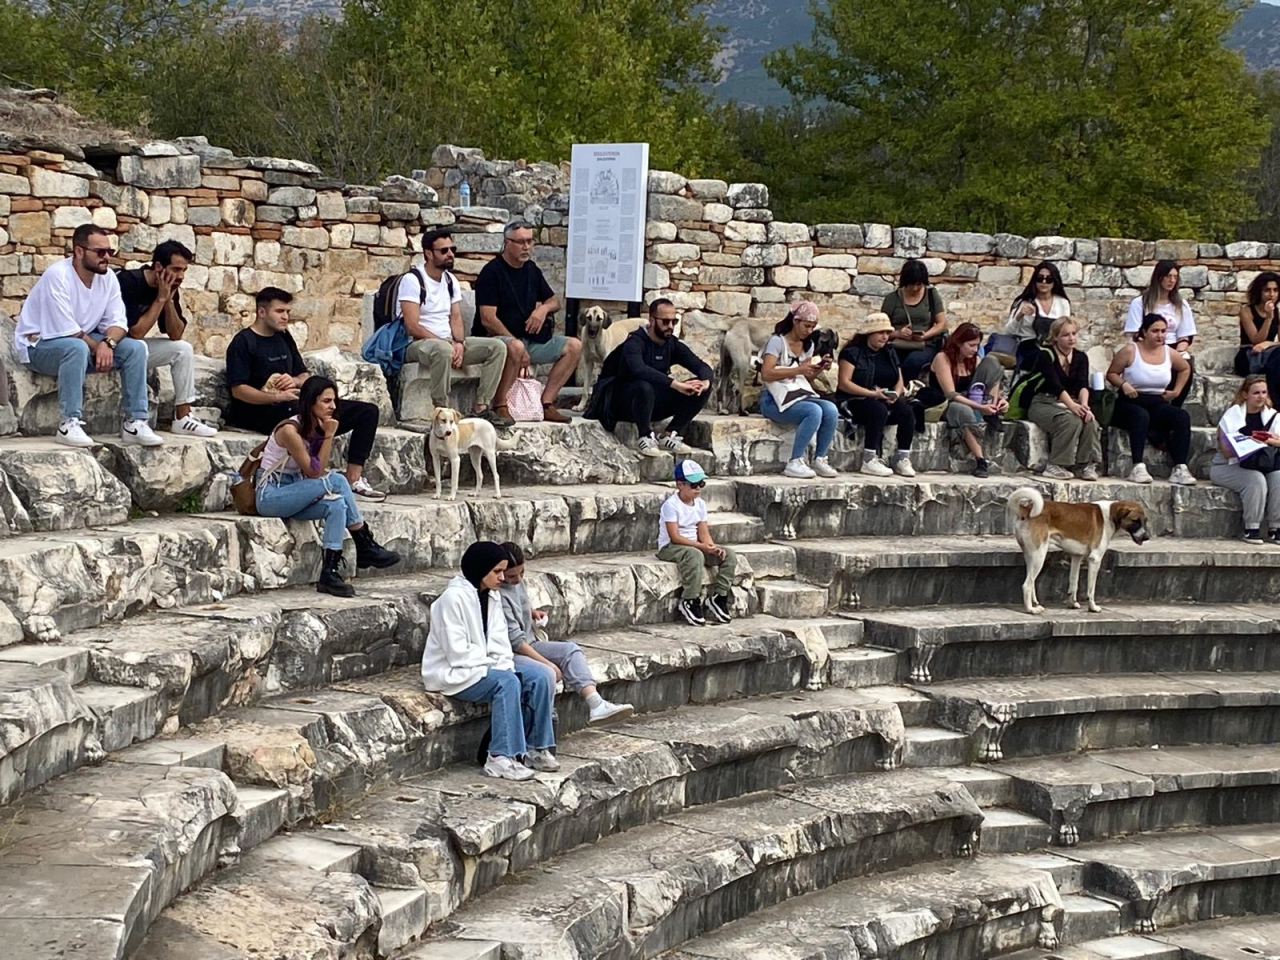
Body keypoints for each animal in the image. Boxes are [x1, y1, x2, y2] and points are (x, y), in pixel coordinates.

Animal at [1008, 488, 1152, 616]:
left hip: (1030, 555)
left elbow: (1074, 582)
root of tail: (1026, 509)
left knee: (1031, 580)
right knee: (1027, 584)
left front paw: (1072, 603)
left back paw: (1035, 604)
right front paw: (1093, 607)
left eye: (1145, 521)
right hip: (1039, 555)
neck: (1110, 515)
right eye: (1135, 521)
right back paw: (1030, 610)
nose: (1147, 537)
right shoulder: (1095, 559)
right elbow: (1091, 589)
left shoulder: (1076, 557)